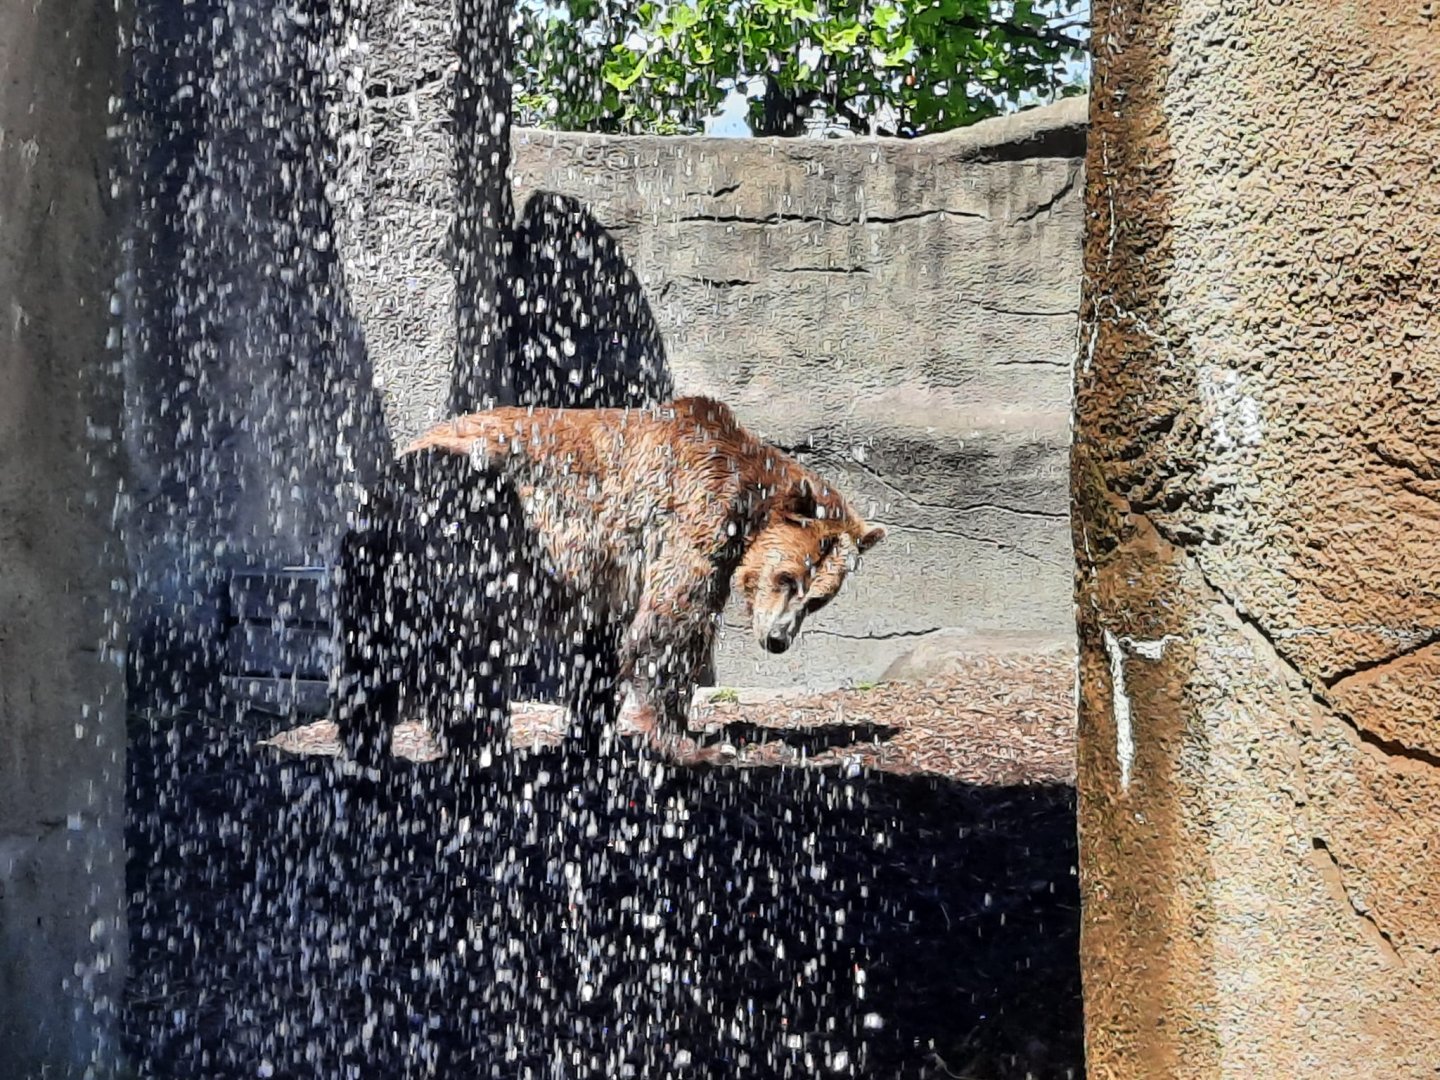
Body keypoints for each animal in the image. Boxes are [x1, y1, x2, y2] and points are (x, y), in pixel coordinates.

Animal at [332, 395, 885, 774]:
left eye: (818, 600)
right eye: (786, 577)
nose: (776, 640)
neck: (748, 497)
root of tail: (386, 486)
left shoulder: (611, 576)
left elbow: (601, 647)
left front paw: (592, 734)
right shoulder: (691, 517)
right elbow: (669, 630)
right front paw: (694, 742)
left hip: (382, 574)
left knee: (373, 660)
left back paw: (370, 750)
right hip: (469, 535)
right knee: (468, 655)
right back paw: (484, 747)